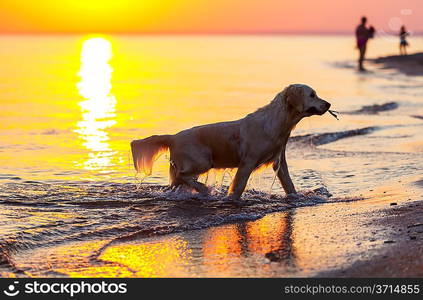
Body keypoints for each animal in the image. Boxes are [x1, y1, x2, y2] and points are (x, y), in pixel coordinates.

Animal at [132, 84, 332, 200]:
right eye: (312, 95)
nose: (328, 104)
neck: (279, 122)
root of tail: (173, 137)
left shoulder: (279, 161)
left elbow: (289, 184)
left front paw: (296, 197)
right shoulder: (248, 161)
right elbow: (238, 186)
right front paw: (231, 199)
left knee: (178, 182)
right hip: (202, 161)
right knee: (183, 176)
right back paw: (205, 190)